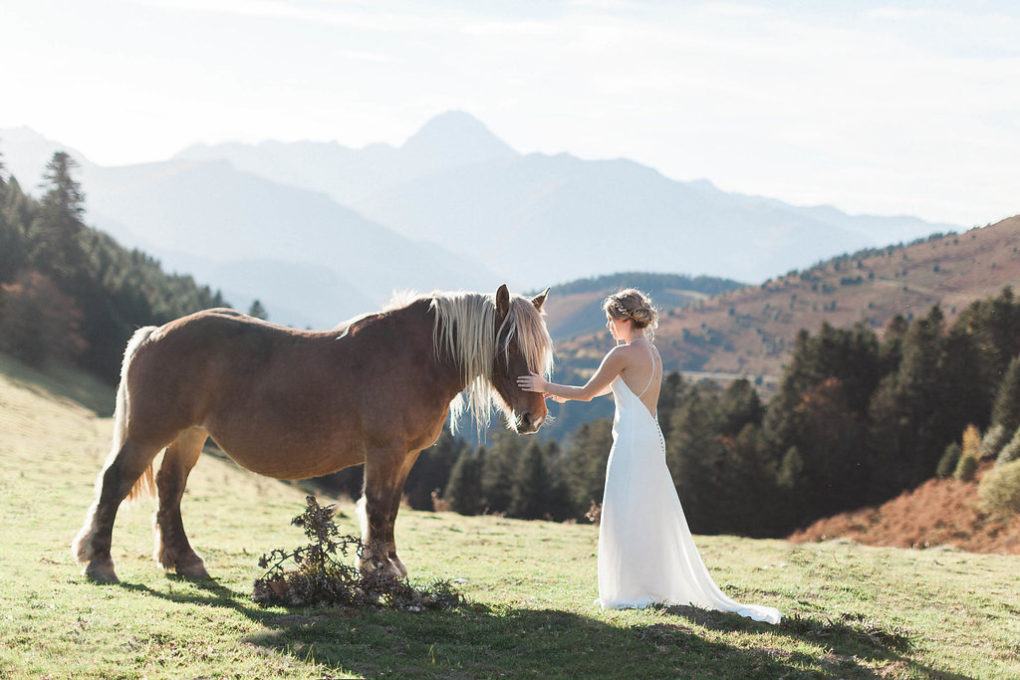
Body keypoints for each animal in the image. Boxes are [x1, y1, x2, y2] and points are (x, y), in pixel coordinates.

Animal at [71, 285, 550, 583]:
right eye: (508, 345)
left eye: (541, 349)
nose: (533, 417)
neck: (415, 358)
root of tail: (154, 334)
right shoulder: (385, 451)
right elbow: (377, 506)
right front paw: (377, 569)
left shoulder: (407, 455)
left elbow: (392, 509)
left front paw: (391, 564)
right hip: (149, 433)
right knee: (116, 481)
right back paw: (100, 562)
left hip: (188, 435)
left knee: (170, 486)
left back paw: (184, 560)